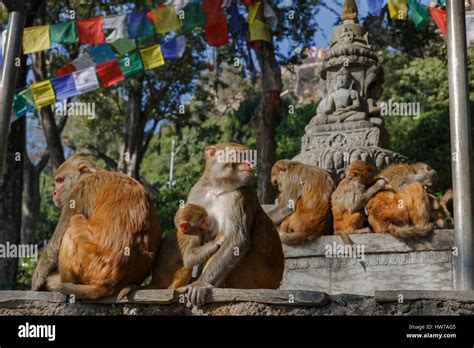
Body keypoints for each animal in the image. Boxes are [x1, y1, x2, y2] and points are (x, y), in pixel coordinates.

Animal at [31, 155, 162, 300]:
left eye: (60, 181)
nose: (54, 193)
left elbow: (56, 243)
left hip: (92, 265)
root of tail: (110, 285)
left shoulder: (78, 193)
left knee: (74, 220)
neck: (91, 174)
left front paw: (37, 280)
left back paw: (64, 282)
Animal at [179, 143, 284, 306]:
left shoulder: (238, 196)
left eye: (247, 155)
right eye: (240, 155)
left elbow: (237, 239)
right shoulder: (196, 195)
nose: (249, 163)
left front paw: (200, 284)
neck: (217, 187)